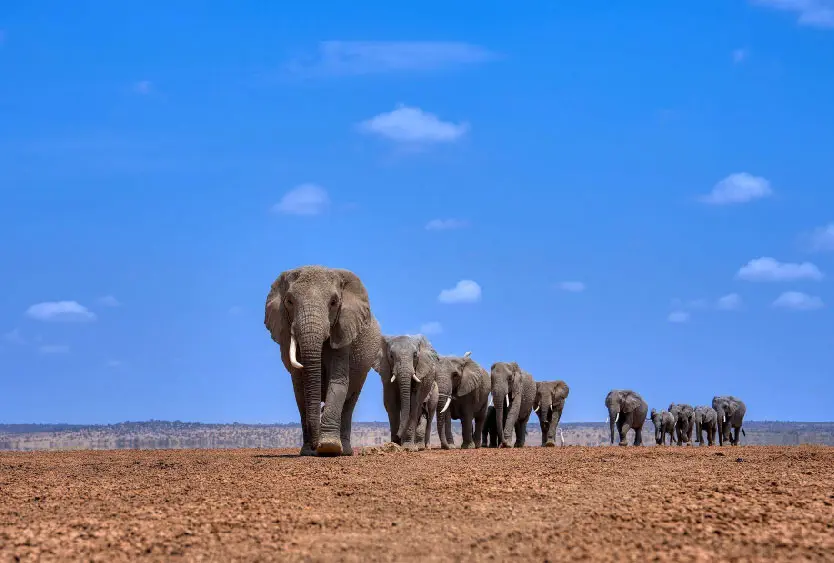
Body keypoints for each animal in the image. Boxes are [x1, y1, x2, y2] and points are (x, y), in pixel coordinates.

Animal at [264, 265, 381, 456]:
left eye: (334, 302)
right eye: (289, 301)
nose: (314, 446)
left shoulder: (344, 331)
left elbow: (338, 382)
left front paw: (328, 448)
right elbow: (300, 390)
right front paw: (308, 452)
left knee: (350, 402)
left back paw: (345, 451)